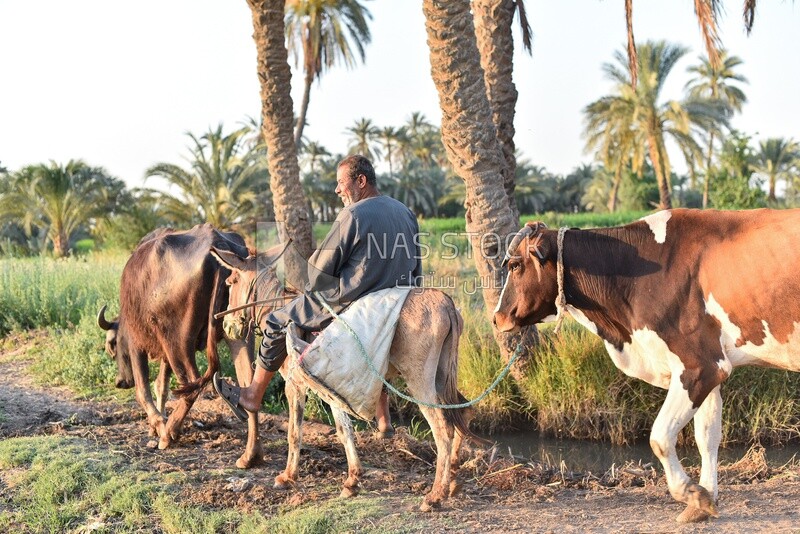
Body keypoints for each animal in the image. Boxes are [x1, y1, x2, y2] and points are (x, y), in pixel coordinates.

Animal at [95, 225, 260, 468]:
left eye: (112, 345)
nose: (120, 382)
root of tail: (216, 242)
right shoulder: (164, 352)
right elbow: (161, 386)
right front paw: (158, 423)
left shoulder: (136, 344)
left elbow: (143, 391)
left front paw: (159, 424)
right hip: (238, 333)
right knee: (249, 385)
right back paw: (251, 455)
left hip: (179, 343)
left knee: (192, 385)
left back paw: (169, 433)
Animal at [490, 209, 800, 524]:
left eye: (515, 265)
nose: (496, 318)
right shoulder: (711, 366)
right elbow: (707, 436)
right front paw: (703, 502)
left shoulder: (700, 365)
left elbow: (660, 438)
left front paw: (691, 493)